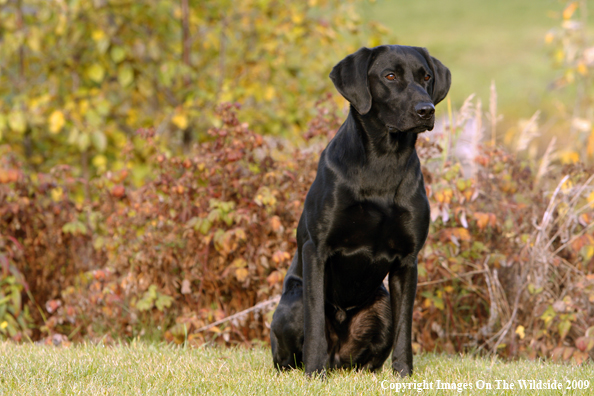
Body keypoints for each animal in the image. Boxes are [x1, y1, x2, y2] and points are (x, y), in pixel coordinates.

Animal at [270, 44, 448, 376]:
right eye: (390, 76)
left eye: (426, 76)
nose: (426, 109)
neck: (383, 161)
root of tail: (337, 359)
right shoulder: (316, 250)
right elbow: (315, 325)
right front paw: (314, 375)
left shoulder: (408, 260)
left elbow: (405, 329)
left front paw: (404, 375)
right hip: (292, 303)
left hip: (381, 306)